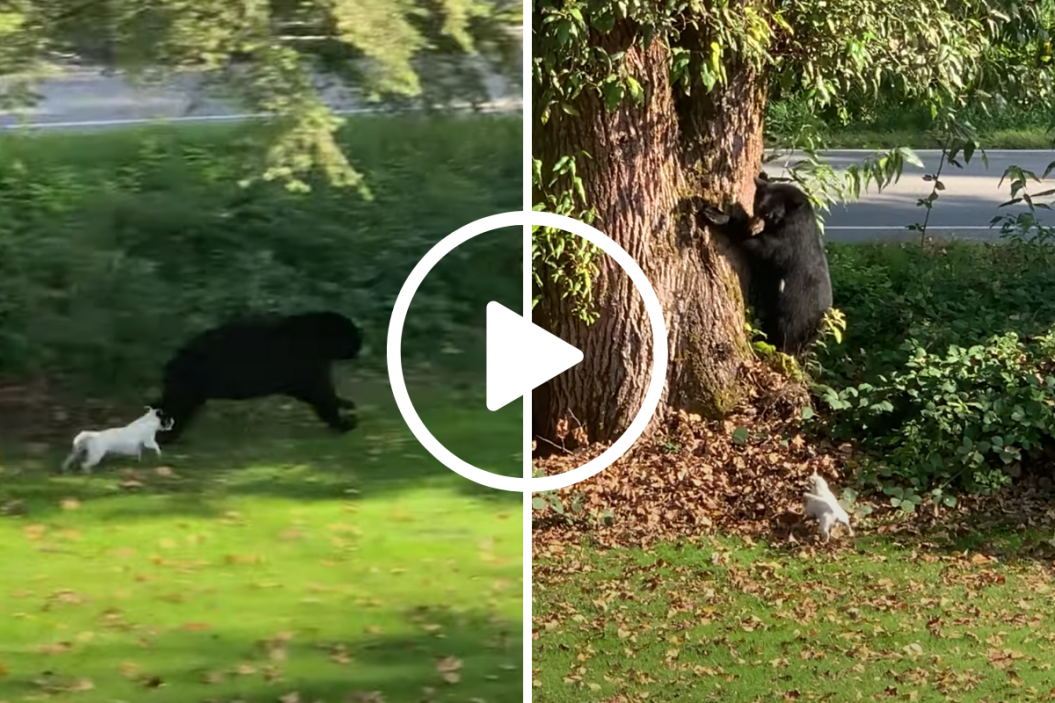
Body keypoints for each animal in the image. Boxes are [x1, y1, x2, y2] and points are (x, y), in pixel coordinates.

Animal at [151, 311, 362, 443]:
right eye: (351, 333)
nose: (359, 345)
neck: (318, 339)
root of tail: (174, 360)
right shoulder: (309, 372)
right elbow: (323, 398)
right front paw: (345, 423)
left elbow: (324, 395)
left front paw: (346, 404)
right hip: (189, 391)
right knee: (174, 411)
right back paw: (166, 437)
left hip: (189, 391)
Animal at [698, 176, 833, 355]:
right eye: (757, 205)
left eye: (771, 213)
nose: (755, 224)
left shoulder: (788, 240)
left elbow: (757, 244)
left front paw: (715, 214)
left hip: (797, 314)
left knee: (787, 333)